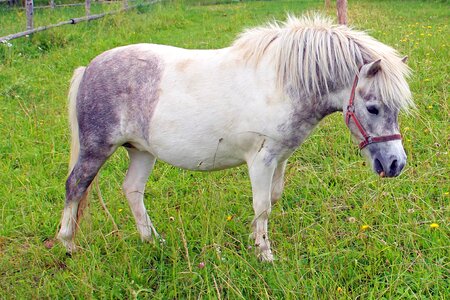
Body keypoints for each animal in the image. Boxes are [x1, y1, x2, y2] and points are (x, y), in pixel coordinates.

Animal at [58, 15, 414, 262]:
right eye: (373, 107)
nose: (396, 164)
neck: (280, 84)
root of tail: (88, 68)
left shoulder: (280, 158)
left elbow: (270, 200)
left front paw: (254, 239)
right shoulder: (260, 160)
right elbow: (262, 205)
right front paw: (265, 255)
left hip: (141, 151)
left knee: (132, 190)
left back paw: (152, 241)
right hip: (97, 148)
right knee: (75, 186)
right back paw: (68, 244)